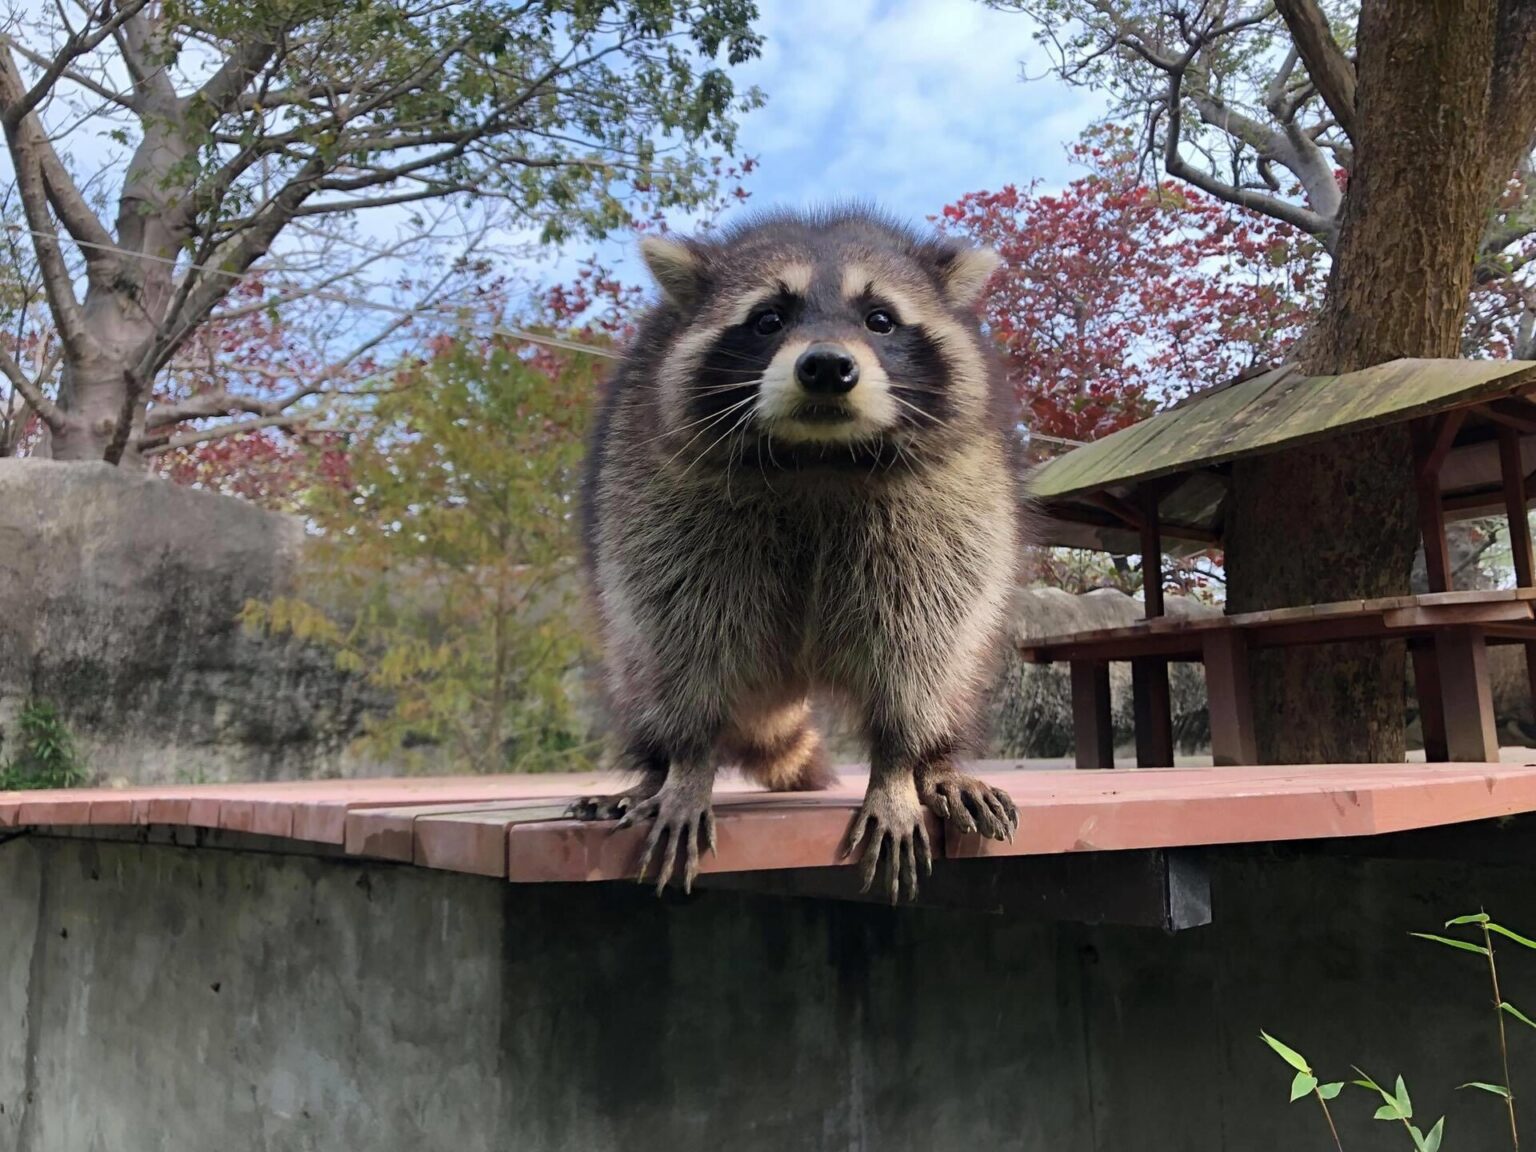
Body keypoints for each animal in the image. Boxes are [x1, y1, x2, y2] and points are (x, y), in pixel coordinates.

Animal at [570, 207, 1022, 902]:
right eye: (767, 319)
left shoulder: (948, 504)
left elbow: (921, 644)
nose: (828, 366)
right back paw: (652, 768)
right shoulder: (657, 499)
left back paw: (939, 760)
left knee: (956, 668)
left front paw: (899, 769)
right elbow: (681, 637)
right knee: (641, 668)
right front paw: (687, 764)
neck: (818, 456)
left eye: (880, 319)